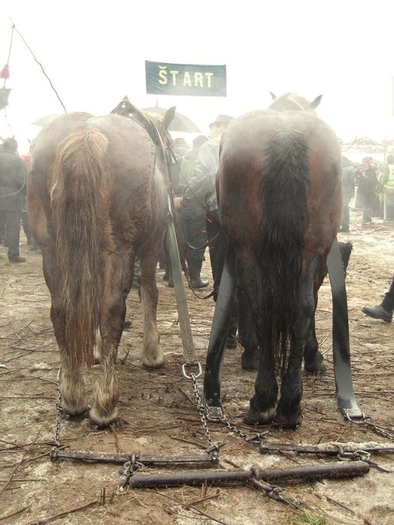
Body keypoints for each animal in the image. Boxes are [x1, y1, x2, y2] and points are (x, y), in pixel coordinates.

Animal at [26, 107, 175, 426]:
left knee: (61, 310)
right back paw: (105, 403)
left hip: (52, 249)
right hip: (118, 249)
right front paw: (152, 353)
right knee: (111, 312)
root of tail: (86, 135)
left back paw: (72, 395)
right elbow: (149, 291)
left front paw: (93, 351)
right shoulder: (152, 245)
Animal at [203, 92, 342, 428]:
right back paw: (280, 401)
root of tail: (285, 135)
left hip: (253, 247)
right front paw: (312, 356)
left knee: (271, 305)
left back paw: (272, 400)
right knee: (290, 306)